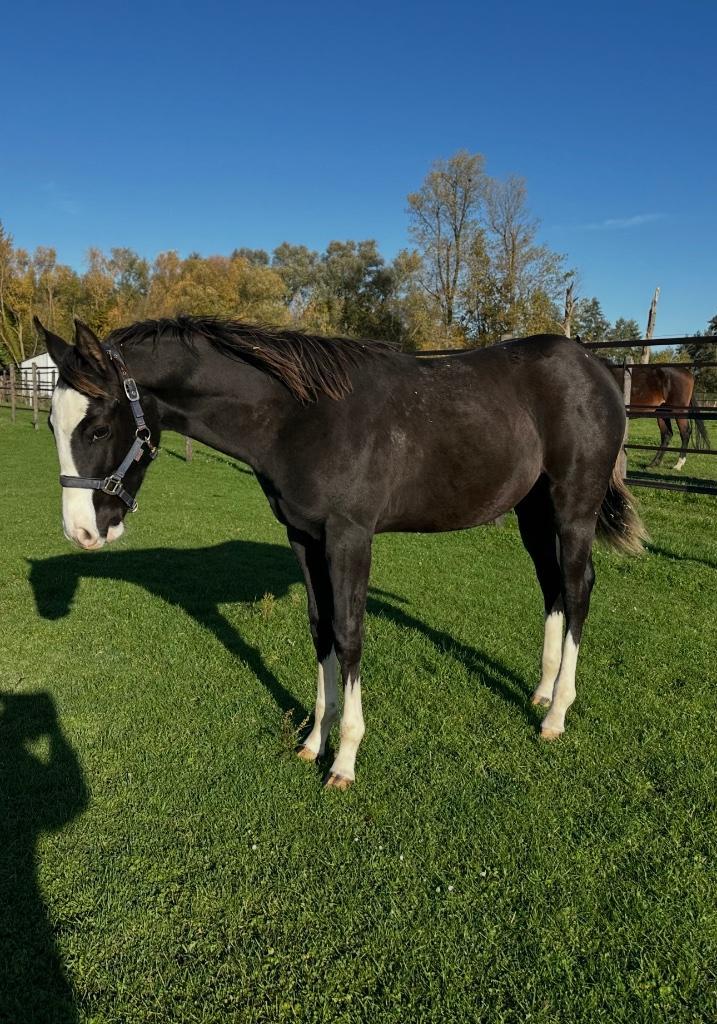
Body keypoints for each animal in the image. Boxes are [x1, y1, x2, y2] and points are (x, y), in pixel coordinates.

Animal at [36, 315, 646, 790]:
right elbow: (321, 628)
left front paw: (345, 759)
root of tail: (596, 369)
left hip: (573, 507)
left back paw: (557, 714)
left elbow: (350, 635)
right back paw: (542, 692)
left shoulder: (350, 537)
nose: (81, 532)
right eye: (52, 424)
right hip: (532, 511)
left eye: (97, 427)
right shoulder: (305, 538)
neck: (299, 417)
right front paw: (314, 739)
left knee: (578, 587)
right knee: (552, 587)